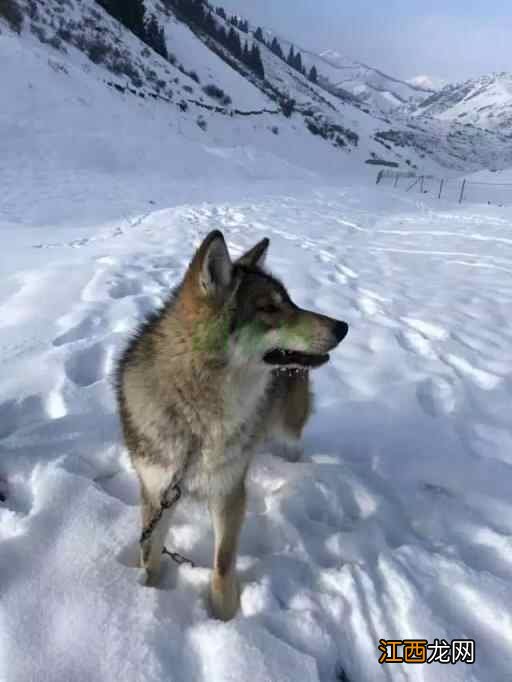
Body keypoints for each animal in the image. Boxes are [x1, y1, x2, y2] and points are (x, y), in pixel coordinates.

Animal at [116, 231, 348, 620]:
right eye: (269, 308)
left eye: (291, 301)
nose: (343, 327)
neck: (197, 418)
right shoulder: (158, 491)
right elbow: (150, 556)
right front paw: (143, 595)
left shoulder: (229, 492)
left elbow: (223, 563)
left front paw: (226, 618)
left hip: (289, 427)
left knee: (293, 447)